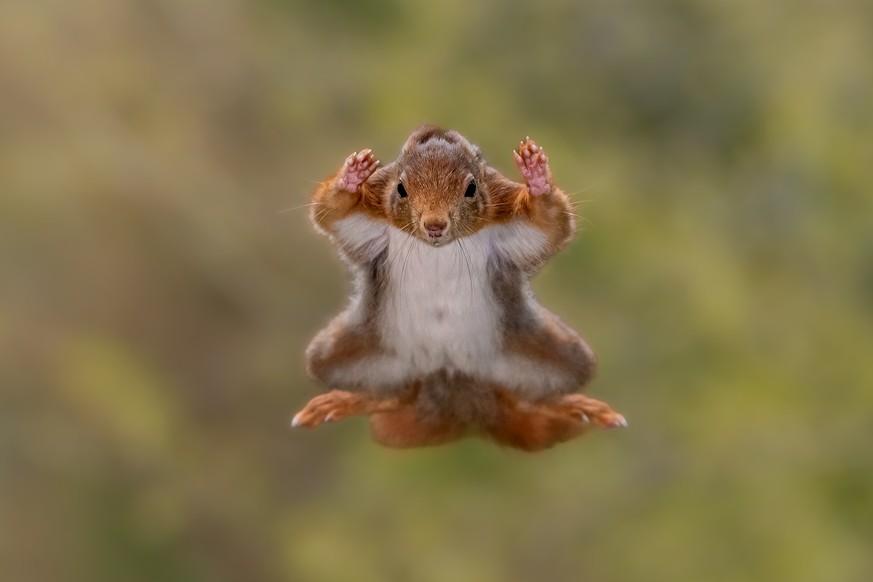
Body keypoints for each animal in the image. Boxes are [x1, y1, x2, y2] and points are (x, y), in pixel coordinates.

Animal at [292, 125, 625, 451]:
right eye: (401, 188)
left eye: (471, 188)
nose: (435, 226)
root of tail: (454, 386)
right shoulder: (371, 219)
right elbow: (332, 214)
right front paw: (351, 178)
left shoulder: (507, 219)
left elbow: (549, 225)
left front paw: (537, 178)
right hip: (347, 353)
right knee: (394, 394)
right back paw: (346, 400)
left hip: (553, 354)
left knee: (524, 398)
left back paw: (572, 406)